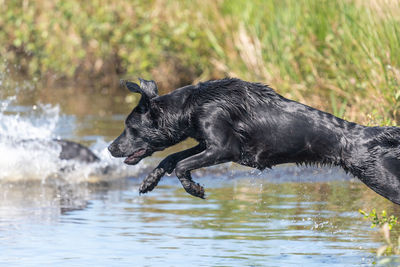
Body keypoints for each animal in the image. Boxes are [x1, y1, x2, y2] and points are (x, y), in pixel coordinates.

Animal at [107, 78, 400, 204]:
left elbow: (181, 165)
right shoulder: (205, 144)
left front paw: (194, 189)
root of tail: (370, 134)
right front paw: (149, 181)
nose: (110, 147)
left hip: (381, 179)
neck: (192, 105)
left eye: (129, 127)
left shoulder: (224, 148)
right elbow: (170, 158)